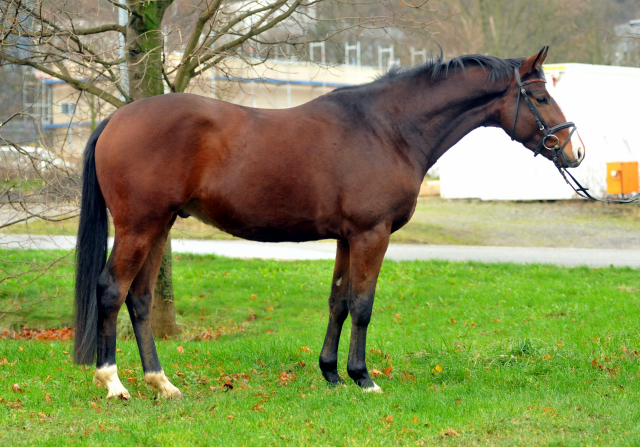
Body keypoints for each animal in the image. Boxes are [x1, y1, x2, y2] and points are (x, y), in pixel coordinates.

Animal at [74, 47, 584, 400]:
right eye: (541, 97)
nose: (575, 151)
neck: (388, 129)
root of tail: (116, 118)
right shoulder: (371, 234)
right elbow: (362, 304)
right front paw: (364, 379)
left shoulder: (346, 238)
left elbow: (338, 302)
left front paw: (332, 374)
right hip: (140, 226)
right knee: (111, 290)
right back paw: (113, 382)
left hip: (159, 227)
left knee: (140, 299)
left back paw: (162, 383)